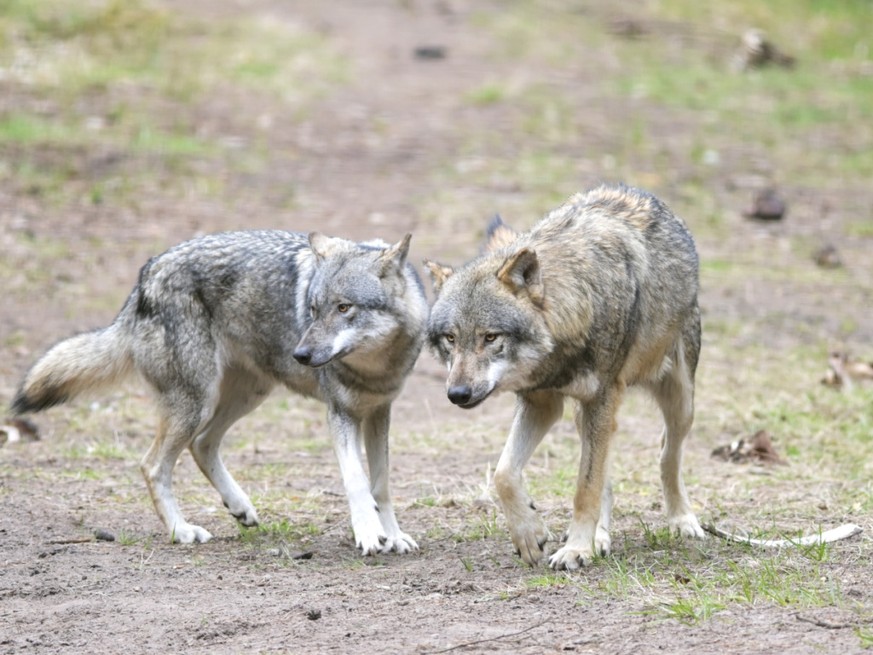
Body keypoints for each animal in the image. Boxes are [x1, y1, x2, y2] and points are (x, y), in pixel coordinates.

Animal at [10, 231, 426, 552]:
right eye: (312, 309)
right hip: (198, 403)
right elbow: (357, 482)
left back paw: (238, 506)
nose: (301, 354)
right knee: (152, 464)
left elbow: (381, 485)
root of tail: (146, 275)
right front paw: (369, 535)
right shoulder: (340, 414)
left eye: (343, 308)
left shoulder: (379, 413)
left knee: (202, 445)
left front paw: (393, 535)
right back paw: (181, 531)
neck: (375, 367)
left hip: (246, 396)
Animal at [426, 183, 704, 568]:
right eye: (451, 339)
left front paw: (575, 549)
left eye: (490, 337)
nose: (458, 394)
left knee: (667, 454)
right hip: (584, 414)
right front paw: (531, 534)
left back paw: (681, 520)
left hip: (679, 402)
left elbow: (585, 487)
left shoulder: (601, 398)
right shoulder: (542, 403)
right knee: (607, 476)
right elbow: (504, 474)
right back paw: (600, 538)